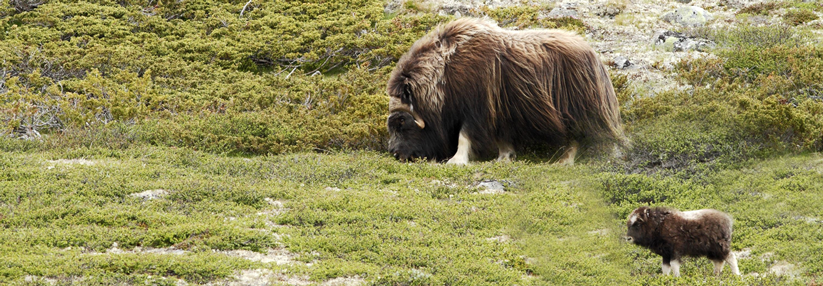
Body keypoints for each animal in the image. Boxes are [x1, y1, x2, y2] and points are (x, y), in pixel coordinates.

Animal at [386, 17, 624, 164]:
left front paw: (456, 160)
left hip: (576, 112)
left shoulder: (476, 109)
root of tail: (595, 57)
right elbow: (502, 137)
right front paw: (504, 157)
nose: (395, 154)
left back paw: (564, 161)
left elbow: (464, 135)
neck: (443, 73)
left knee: (577, 137)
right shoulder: (500, 113)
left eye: (403, 122)